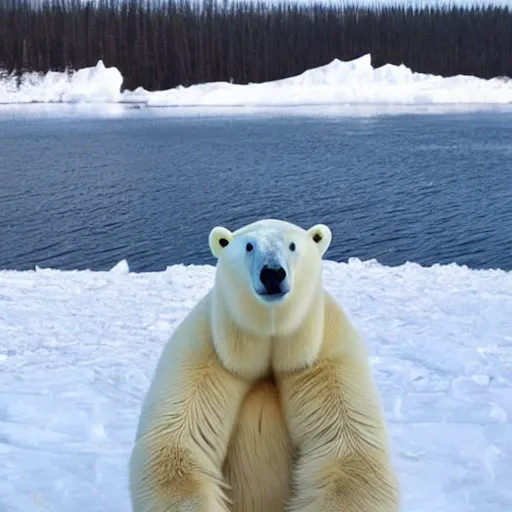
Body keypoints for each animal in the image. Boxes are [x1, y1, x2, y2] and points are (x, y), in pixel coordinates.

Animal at [129, 218, 400, 510]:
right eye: (249, 246)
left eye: (292, 245)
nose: (272, 274)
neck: (267, 345)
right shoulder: (203, 351)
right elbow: (175, 445)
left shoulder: (326, 357)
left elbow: (349, 452)